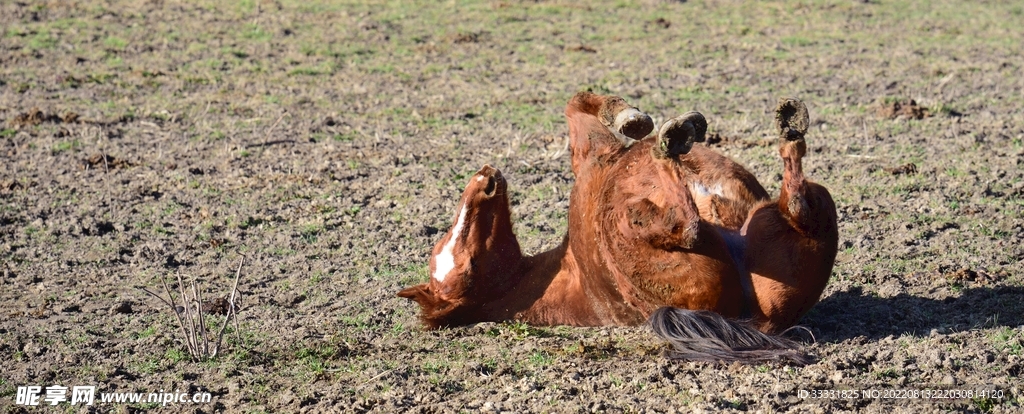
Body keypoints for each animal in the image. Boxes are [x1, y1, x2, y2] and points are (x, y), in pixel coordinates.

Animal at [398, 92, 838, 364]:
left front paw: (634, 119)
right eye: (469, 262)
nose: (484, 179)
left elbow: (577, 103)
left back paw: (788, 127)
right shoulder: (592, 151)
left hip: (807, 210)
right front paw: (638, 122)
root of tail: (755, 320)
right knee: (689, 226)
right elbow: (578, 106)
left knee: (798, 202)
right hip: (628, 226)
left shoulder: (590, 152)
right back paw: (673, 141)